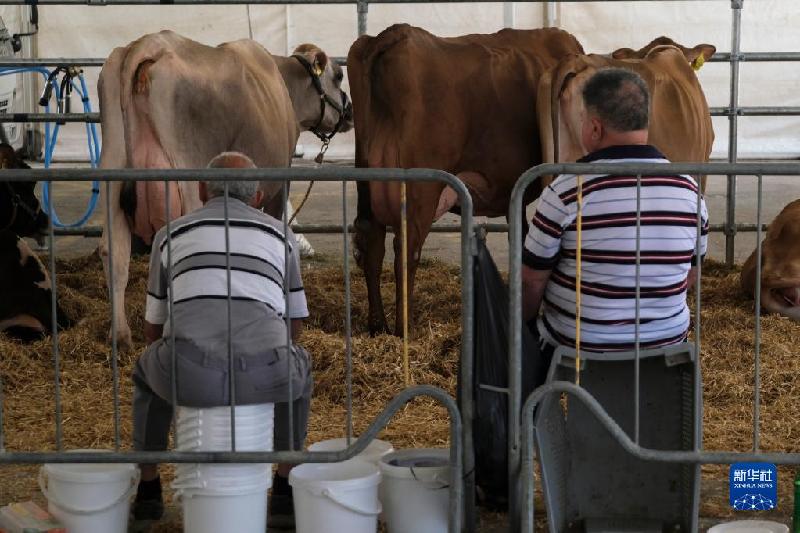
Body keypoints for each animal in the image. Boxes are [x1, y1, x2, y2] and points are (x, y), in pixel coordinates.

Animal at [99, 31, 350, 348]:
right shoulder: (279, 182)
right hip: (186, 178)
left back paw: (120, 336)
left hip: (112, 172)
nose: (349, 112)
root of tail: (147, 44)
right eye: (339, 76)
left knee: (114, 251)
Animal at [346, 25, 584, 334]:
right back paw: (403, 327)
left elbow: (518, 237)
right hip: (420, 188)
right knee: (406, 249)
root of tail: (396, 33)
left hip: (367, 181)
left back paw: (378, 326)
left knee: (372, 243)